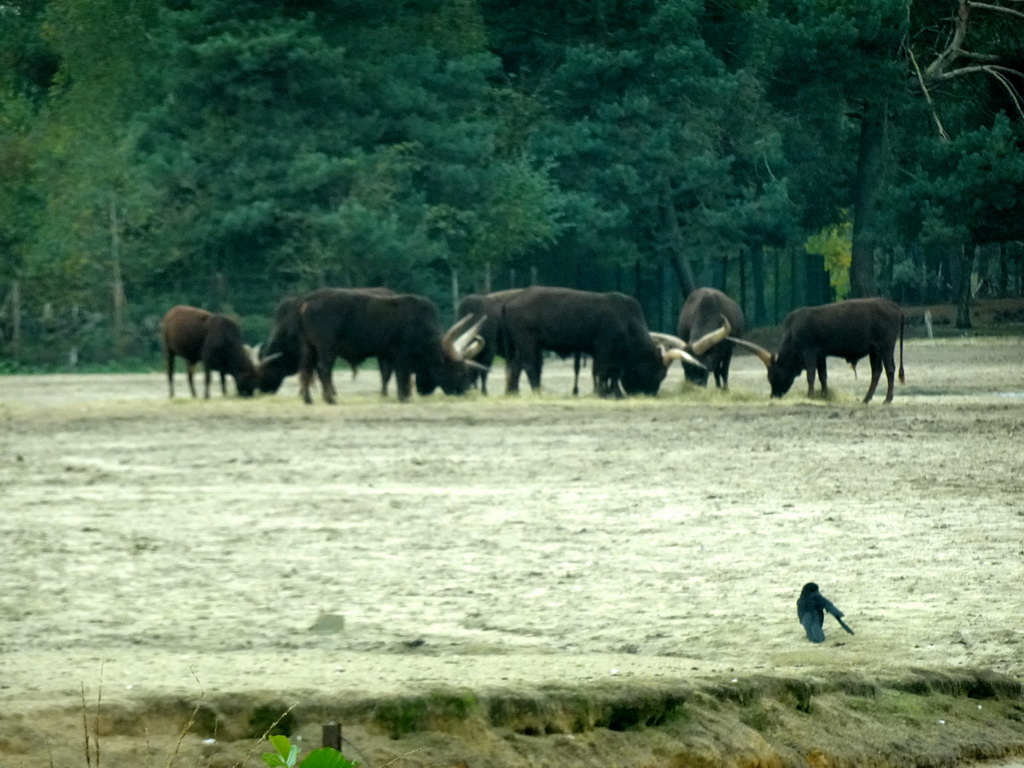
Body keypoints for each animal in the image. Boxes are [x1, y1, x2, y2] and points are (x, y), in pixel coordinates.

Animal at [296, 288, 487, 405]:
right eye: (458, 370)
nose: (465, 391)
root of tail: (307, 302)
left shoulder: (386, 355)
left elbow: (387, 374)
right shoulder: (401, 355)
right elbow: (402, 374)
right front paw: (404, 396)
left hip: (309, 347)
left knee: (306, 370)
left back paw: (308, 399)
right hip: (326, 348)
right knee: (324, 369)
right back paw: (330, 398)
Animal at [497, 286, 729, 399]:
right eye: (658, 373)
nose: (649, 394)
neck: (627, 321)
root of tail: (510, 300)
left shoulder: (613, 355)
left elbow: (612, 374)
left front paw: (612, 392)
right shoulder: (604, 350)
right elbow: (603, 372)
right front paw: (604, 393)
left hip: (519, 346)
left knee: (515, 367)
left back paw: (512, 392)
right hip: (527, 341)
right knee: (530, 366)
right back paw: (536, 391)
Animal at [729, 294, 905, 405]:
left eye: (774, 375)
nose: (774, 396)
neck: (793, 332)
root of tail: (896, 307)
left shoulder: (810, 352)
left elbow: (811, 375)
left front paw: (811, 395)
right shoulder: (821, 355)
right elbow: (823, 376)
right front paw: (824, 395)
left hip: (885, 346)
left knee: (890, 369)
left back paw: (887, 399)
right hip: (874, 350)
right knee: (876, 371)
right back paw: (866, 399)